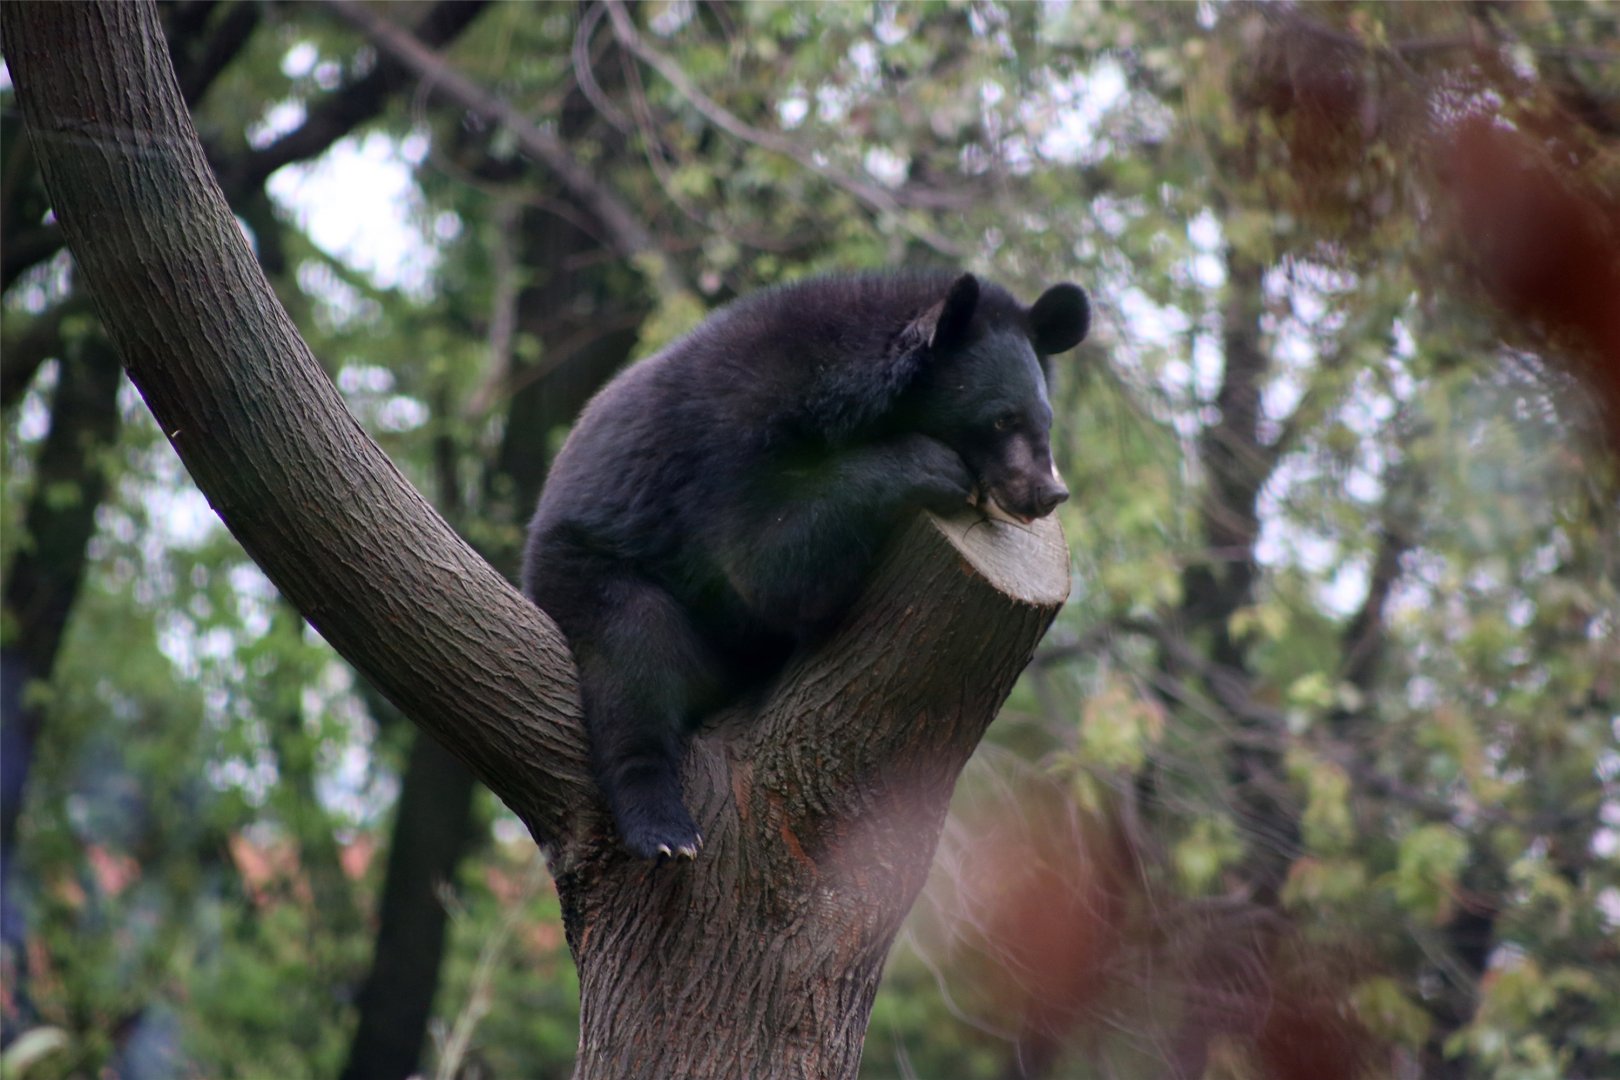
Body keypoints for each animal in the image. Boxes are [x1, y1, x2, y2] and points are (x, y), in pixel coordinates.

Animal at [522, 271, 1089, 860]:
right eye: (1002, 419)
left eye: (1045, 421)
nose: (1048, 494)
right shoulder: (731, 446)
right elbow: (767, 567)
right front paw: (931, 466)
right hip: (591, 566)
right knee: (634, 662)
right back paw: (665, 832)